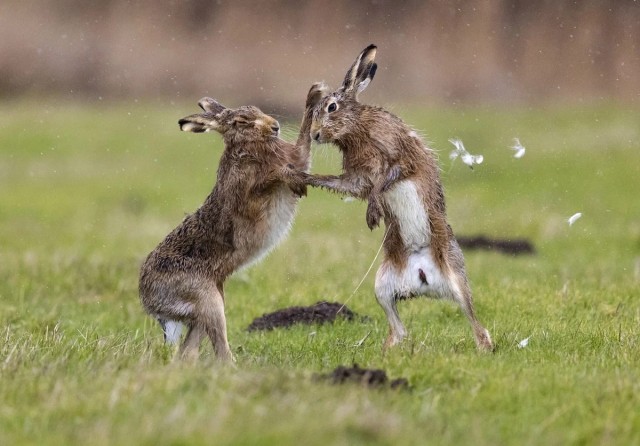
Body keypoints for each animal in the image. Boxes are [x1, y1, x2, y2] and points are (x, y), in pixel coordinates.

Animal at [139, 95, 318, 361]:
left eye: (258, 109)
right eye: (242, 121)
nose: (275, 126)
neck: (243, 150)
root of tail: (149, 302)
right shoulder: (250, 195)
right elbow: (275, 175)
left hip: (208, 303)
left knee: (188, 352)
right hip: (207, 299)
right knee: (219, 350)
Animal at [301, 45, 494, 352]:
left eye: (332, 107)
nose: (315, 134)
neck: (357, 127)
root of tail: (422, 277)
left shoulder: (399, 158)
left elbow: (382, 183)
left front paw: (372, 213)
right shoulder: (357, 176)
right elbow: (347, 185)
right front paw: (300, 176)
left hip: (456, 277)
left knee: (476, 323)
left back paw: (484, 349)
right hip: (382, 287)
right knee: (399, 328)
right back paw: (386, 351)